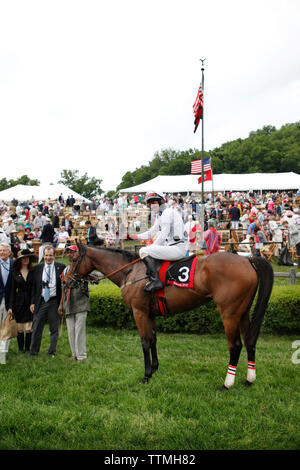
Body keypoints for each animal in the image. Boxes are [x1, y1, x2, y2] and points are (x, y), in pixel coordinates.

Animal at [63, 244, 274, 392]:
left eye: (73, 259)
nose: (66, 280)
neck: (131, 272)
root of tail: (247, 260)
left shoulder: (139, 312)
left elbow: (145, 341)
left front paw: (146, 375)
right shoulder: (150, 313)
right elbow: (153, 339)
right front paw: (155, 368)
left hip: (229, 313)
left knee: (235, 345)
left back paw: (227, 383)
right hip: (243, 312)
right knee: (250, 341)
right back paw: (249, 379)